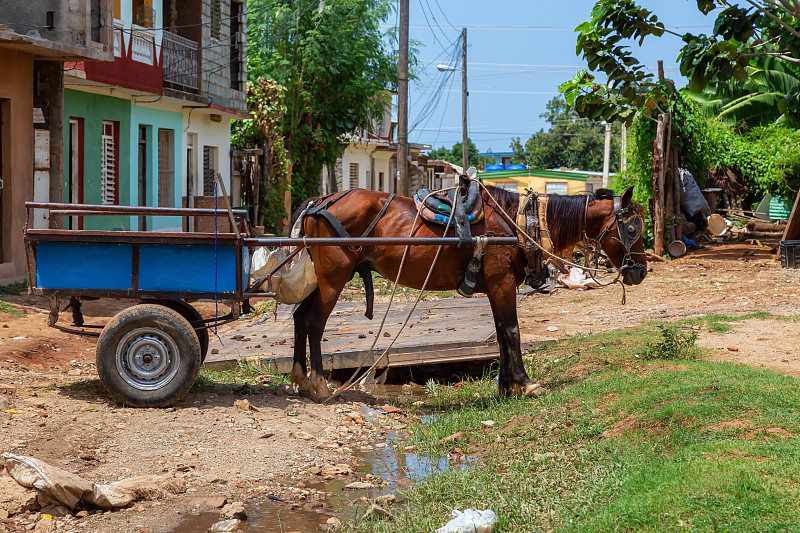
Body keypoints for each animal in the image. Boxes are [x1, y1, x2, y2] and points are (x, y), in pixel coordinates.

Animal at [290, 185, 648, 396]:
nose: (641, 271)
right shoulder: (503, 284)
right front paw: (525, 383)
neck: (519, 221)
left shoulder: (494, 287)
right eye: (632, 228)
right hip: (333, 278)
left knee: (299, 317)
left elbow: (501, 334)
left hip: (322, 278)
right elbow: (513, 331)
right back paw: (319, 384)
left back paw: (300, 378)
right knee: (315, 323)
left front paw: (505, 387)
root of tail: (320, 201)